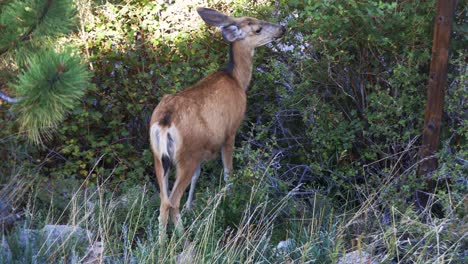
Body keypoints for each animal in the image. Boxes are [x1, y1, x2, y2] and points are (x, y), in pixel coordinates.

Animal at [149, 6, 286, 242]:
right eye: (257, 28)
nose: (282, 29)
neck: (238, 79)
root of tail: (165, 121)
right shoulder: (230, 131)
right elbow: (228, 171)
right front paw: (229, 197)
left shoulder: (202, 148)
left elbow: (198, 176)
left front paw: (191, 206)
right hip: (185, 155)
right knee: (171, 201)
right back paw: (184, 240)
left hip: (160, 157)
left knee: (163, 201)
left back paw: (160, 242)